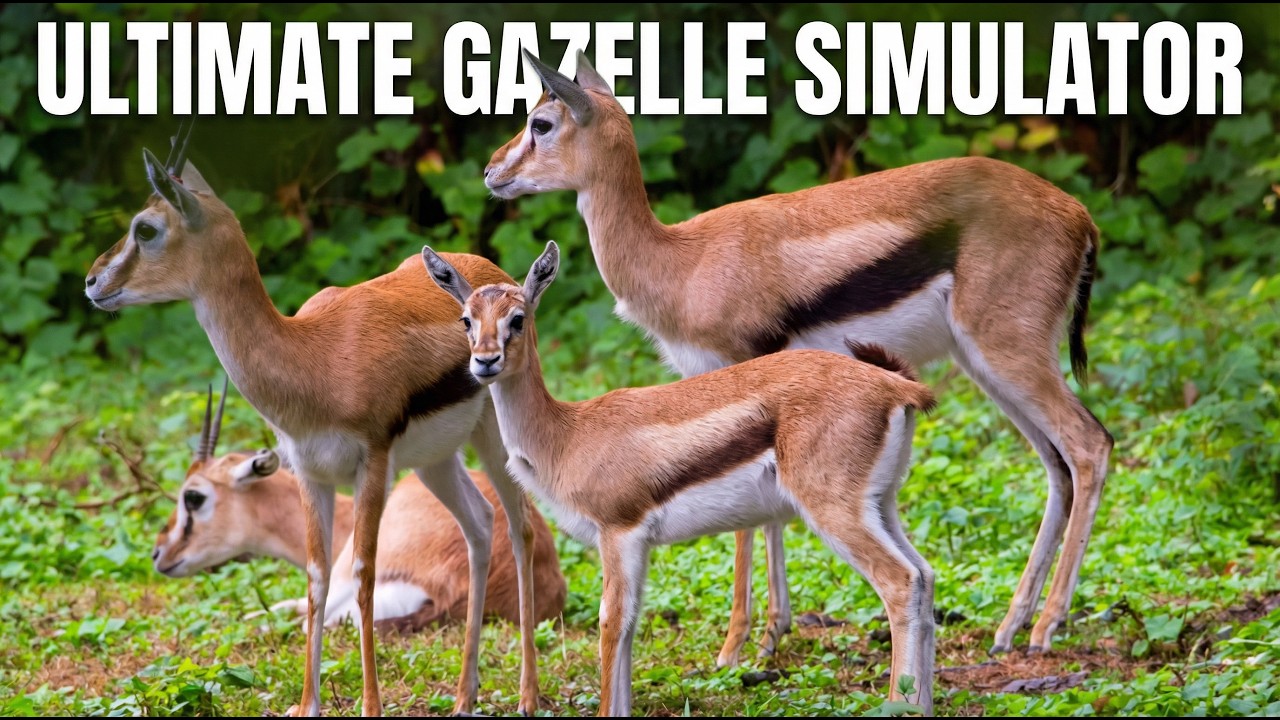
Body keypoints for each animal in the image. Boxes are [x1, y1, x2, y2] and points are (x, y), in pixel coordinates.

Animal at [423, 241, 937, 716]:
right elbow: (629, 626)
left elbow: (611, 623)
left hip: (834, 511)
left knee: (899, 582)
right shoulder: (639, 545)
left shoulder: (618, 533)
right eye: (467, 320)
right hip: (881, 506)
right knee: (924, 577)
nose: (485, 362)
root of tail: (896, 387)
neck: (567, 435)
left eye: (517, 318)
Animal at [487, 50, 1115, 658]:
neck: (682, 260)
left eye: (541, 123)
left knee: (1089, 445)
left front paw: (736, 643)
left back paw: (1045, 628)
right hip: (986, 367)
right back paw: (1012, 625)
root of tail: (1078, 214)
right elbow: (767, 515)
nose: (493, 174)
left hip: (1008, 355)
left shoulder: (739, 368)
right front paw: (772, 632)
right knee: (1056, 465)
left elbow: (746, 523)